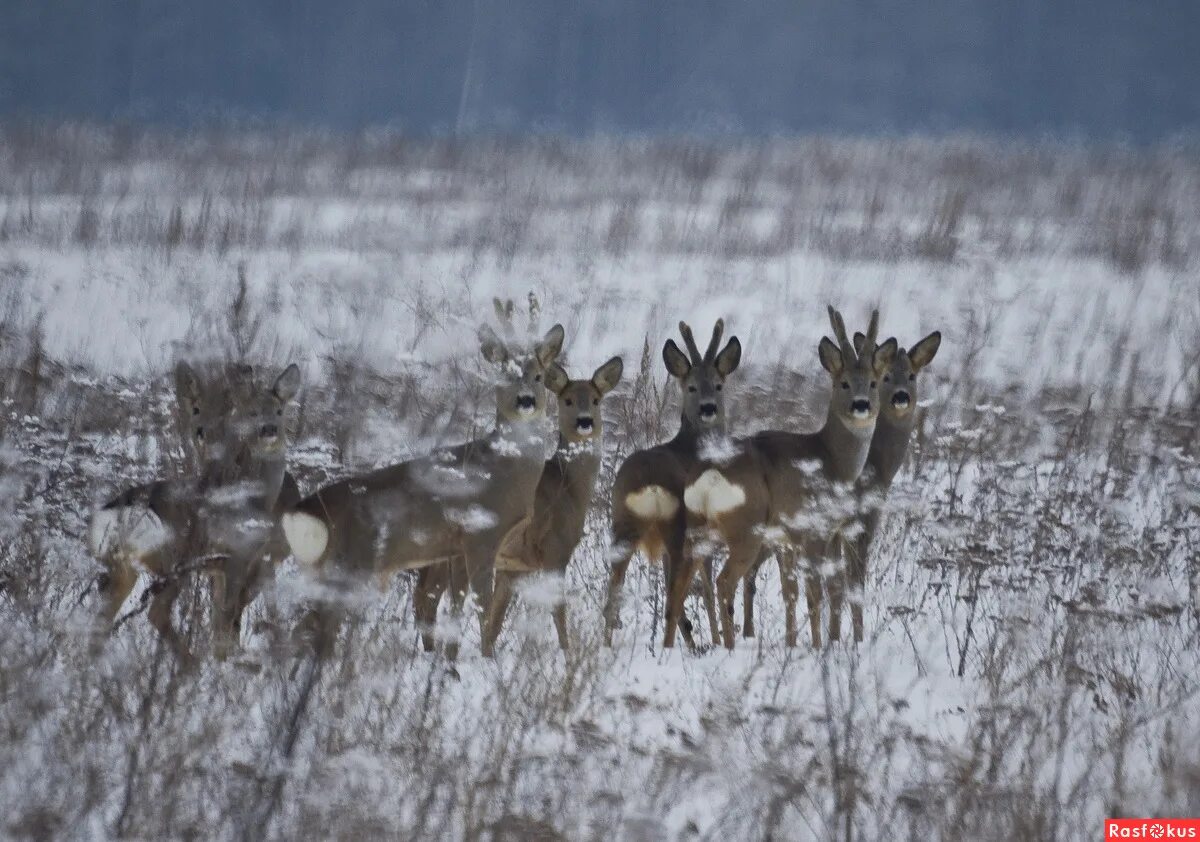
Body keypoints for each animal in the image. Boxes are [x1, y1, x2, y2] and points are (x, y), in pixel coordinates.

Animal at [89, 362, 302, 666]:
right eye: (252, 412)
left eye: (279, 411)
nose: (269, 429)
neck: (256, 498)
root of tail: (116, 512)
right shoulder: (238, 554)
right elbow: (226, 615)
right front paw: (224, 662)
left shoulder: (231, 564)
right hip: (173, 559)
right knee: (157, 611)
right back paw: (191, 664)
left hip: (124, 566)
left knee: (101, 617)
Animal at [279, 299, 561, 657]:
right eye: (504, 375)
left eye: (539, 376)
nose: (526, 400)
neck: (506, 471)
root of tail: (304, 511)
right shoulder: (481, 533)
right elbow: (483, 606)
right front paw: (486, 659)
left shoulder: (456, 547)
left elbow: (456, 605)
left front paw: (449, 660)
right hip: (349, 567)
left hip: (322, 570)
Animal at [420, 355, 628, 662]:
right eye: (566, 400)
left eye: (596, 399)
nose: (585, 421)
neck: (569, 486)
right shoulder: (556, 549)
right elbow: (557, 609)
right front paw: (568, 654)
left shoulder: (514, 567)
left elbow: (496, 618)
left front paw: (489, 657)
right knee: (430, 599)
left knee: (425, 597)